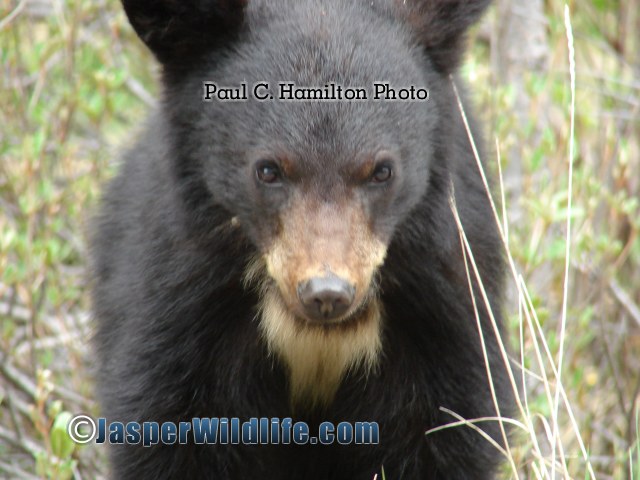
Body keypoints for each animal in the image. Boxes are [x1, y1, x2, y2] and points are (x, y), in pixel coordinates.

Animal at [90, 0, 514, 478]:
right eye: (268, 169)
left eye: (382, 171)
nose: (326, 292)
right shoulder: (182, 297)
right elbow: (169, 427)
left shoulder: (442, 302)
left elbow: (447, 427)